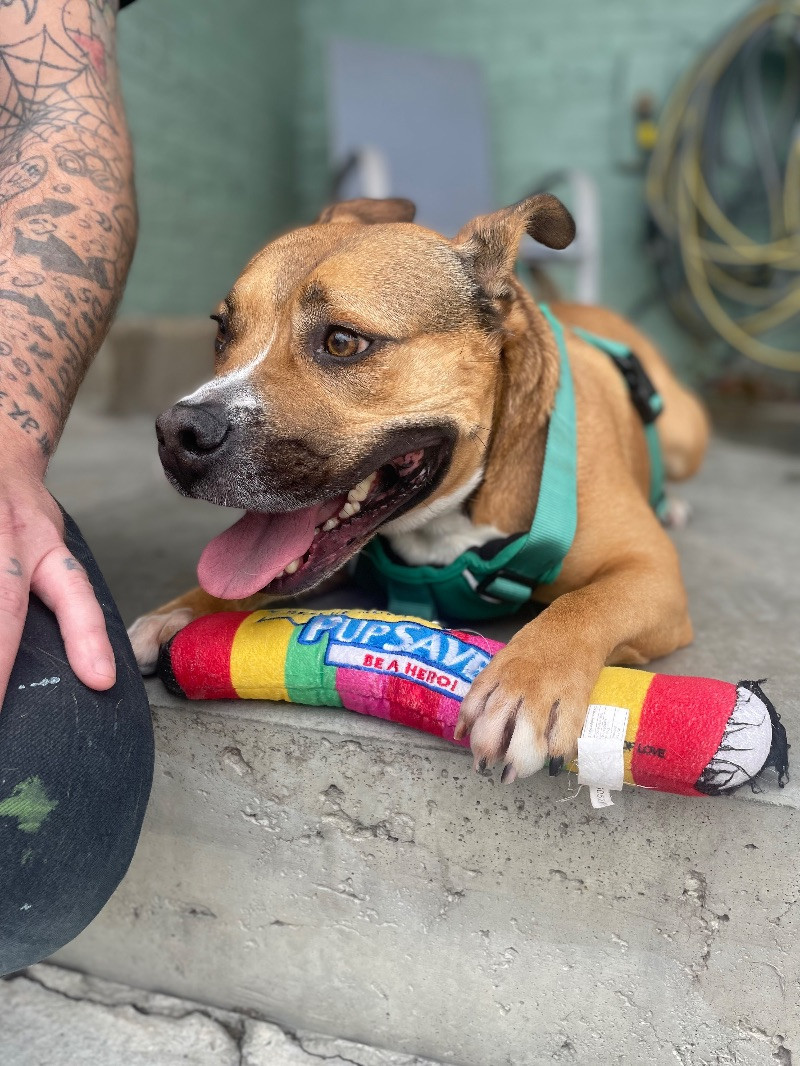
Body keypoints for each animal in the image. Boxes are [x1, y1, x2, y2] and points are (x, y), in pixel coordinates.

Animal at [128, 198, 712, 784]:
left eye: (342, 341)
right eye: (222, 331)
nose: (177, 433)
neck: (453, 515)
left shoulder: (649, 569)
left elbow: (584, 603)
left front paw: (524, 686)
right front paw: (177, 612)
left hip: (687, 435)